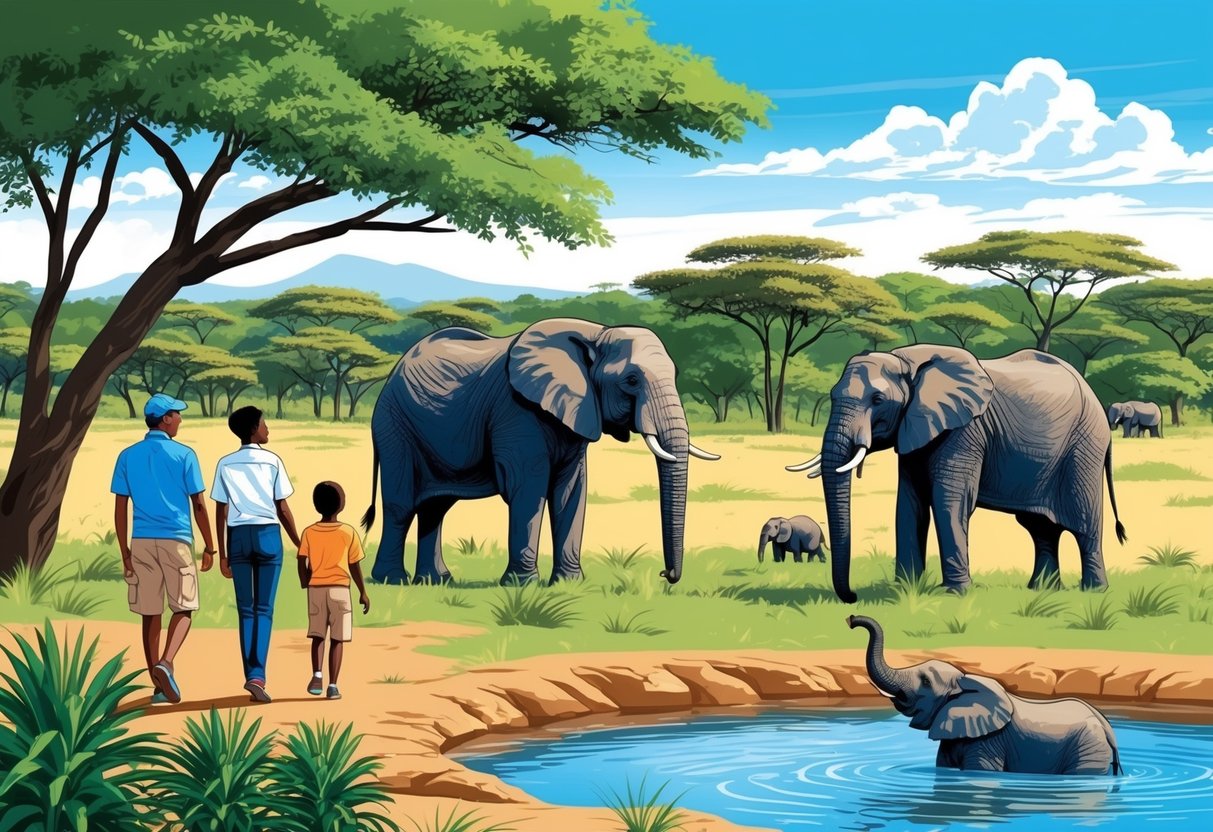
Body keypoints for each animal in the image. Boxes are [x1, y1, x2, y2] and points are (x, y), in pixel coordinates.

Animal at [359, 317, 718, 587]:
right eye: (631, 380)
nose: (665, 574)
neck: (595, 333)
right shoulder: (516, 412)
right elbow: (528, 487)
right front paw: (522, 585)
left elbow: (571, 491)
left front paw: (568, 585)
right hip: (394, 426)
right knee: (402, 504)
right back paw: (392, 580)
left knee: (436, 508)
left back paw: (437, 581)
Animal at [786, 346, 1125, 606]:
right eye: (831, 396)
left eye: (878, 401)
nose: (853, 597)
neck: (908, 362)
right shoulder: (915, 430)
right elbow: (909, 504)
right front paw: (905, 588)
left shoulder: (965, 430)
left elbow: (949, 500)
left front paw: (953, 593)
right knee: (1040, 528)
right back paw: (1041, 589)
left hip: (1084, 448)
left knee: (1085, 524)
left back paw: (1094, 591)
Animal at [849, 616, 1120, 781]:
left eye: (926, 682)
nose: (851, 620)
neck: (963, 680)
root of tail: (1107, 728)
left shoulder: (989, 740)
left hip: (1088, 746)